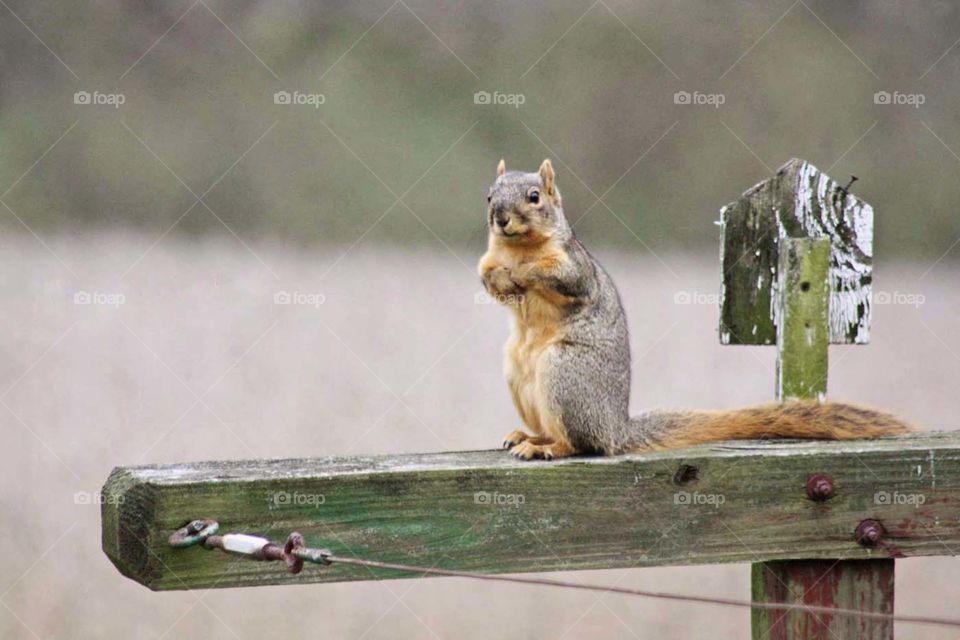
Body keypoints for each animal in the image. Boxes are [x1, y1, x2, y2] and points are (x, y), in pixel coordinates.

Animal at [478, 159, 912, 460]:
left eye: (535, 197)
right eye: (489, 196)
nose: (500, 218)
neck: (518, 248)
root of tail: (616, 429)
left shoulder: (575, 269)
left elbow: (562, 277)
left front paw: (524, 274)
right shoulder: (492, 258)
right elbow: (487, 277)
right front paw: (501, 280)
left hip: (565, 374)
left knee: (582, 443)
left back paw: (547, 447)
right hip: (519, 373)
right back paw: (527, 436)